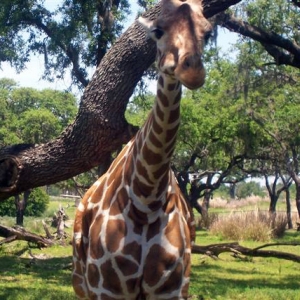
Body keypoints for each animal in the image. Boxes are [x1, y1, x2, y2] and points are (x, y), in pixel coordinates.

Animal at [72, 1, 211, 298]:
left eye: (208, 33)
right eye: (158, 31)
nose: (192, 70)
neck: (145, 200)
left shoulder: (171, 289)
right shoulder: (106, 288)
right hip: (82, 285)